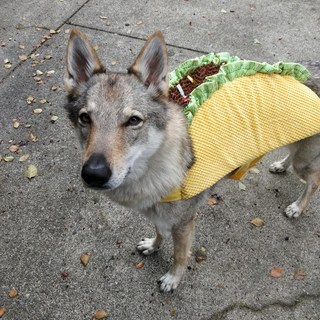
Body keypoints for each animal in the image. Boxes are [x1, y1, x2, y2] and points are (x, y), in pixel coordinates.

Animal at [63, 28, 320, 292]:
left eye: (133, 120)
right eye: (85, 118)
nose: (94, 174)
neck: (157, 165)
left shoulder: (184, 223)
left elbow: (179, 256)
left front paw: (172, 279)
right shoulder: (161, 214)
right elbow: (159, 232)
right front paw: (153, 246)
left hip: (303, 161)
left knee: (313, 181)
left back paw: (297, 208)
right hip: (295, 145)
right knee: (292, 158)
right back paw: (280, 166)